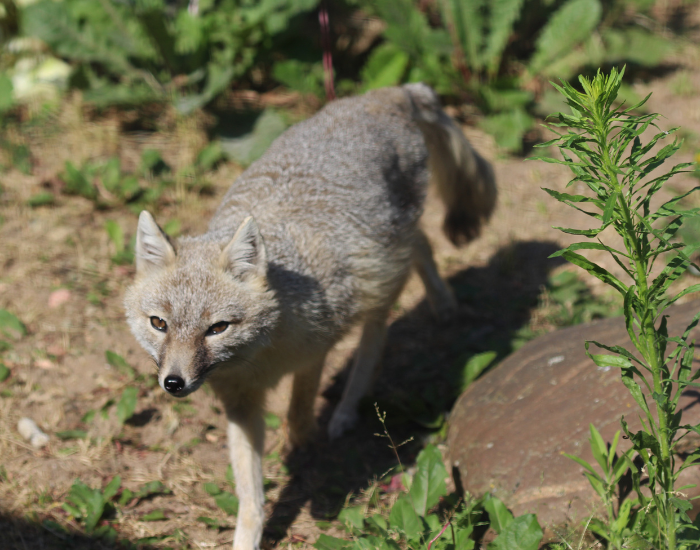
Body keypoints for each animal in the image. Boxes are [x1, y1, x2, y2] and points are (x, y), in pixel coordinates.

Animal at [124, 83, 496, 550]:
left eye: (217, 328)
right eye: (159, 324)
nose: (174, 383)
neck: (257, 360)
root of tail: (387, 94)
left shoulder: (316, 349)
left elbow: (300, 405)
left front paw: (301, 441)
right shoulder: (240, 404)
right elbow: (250, 494)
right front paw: (248, 536)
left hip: (375, 280)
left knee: (378, 331)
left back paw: (350, 405)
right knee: (424, 245)